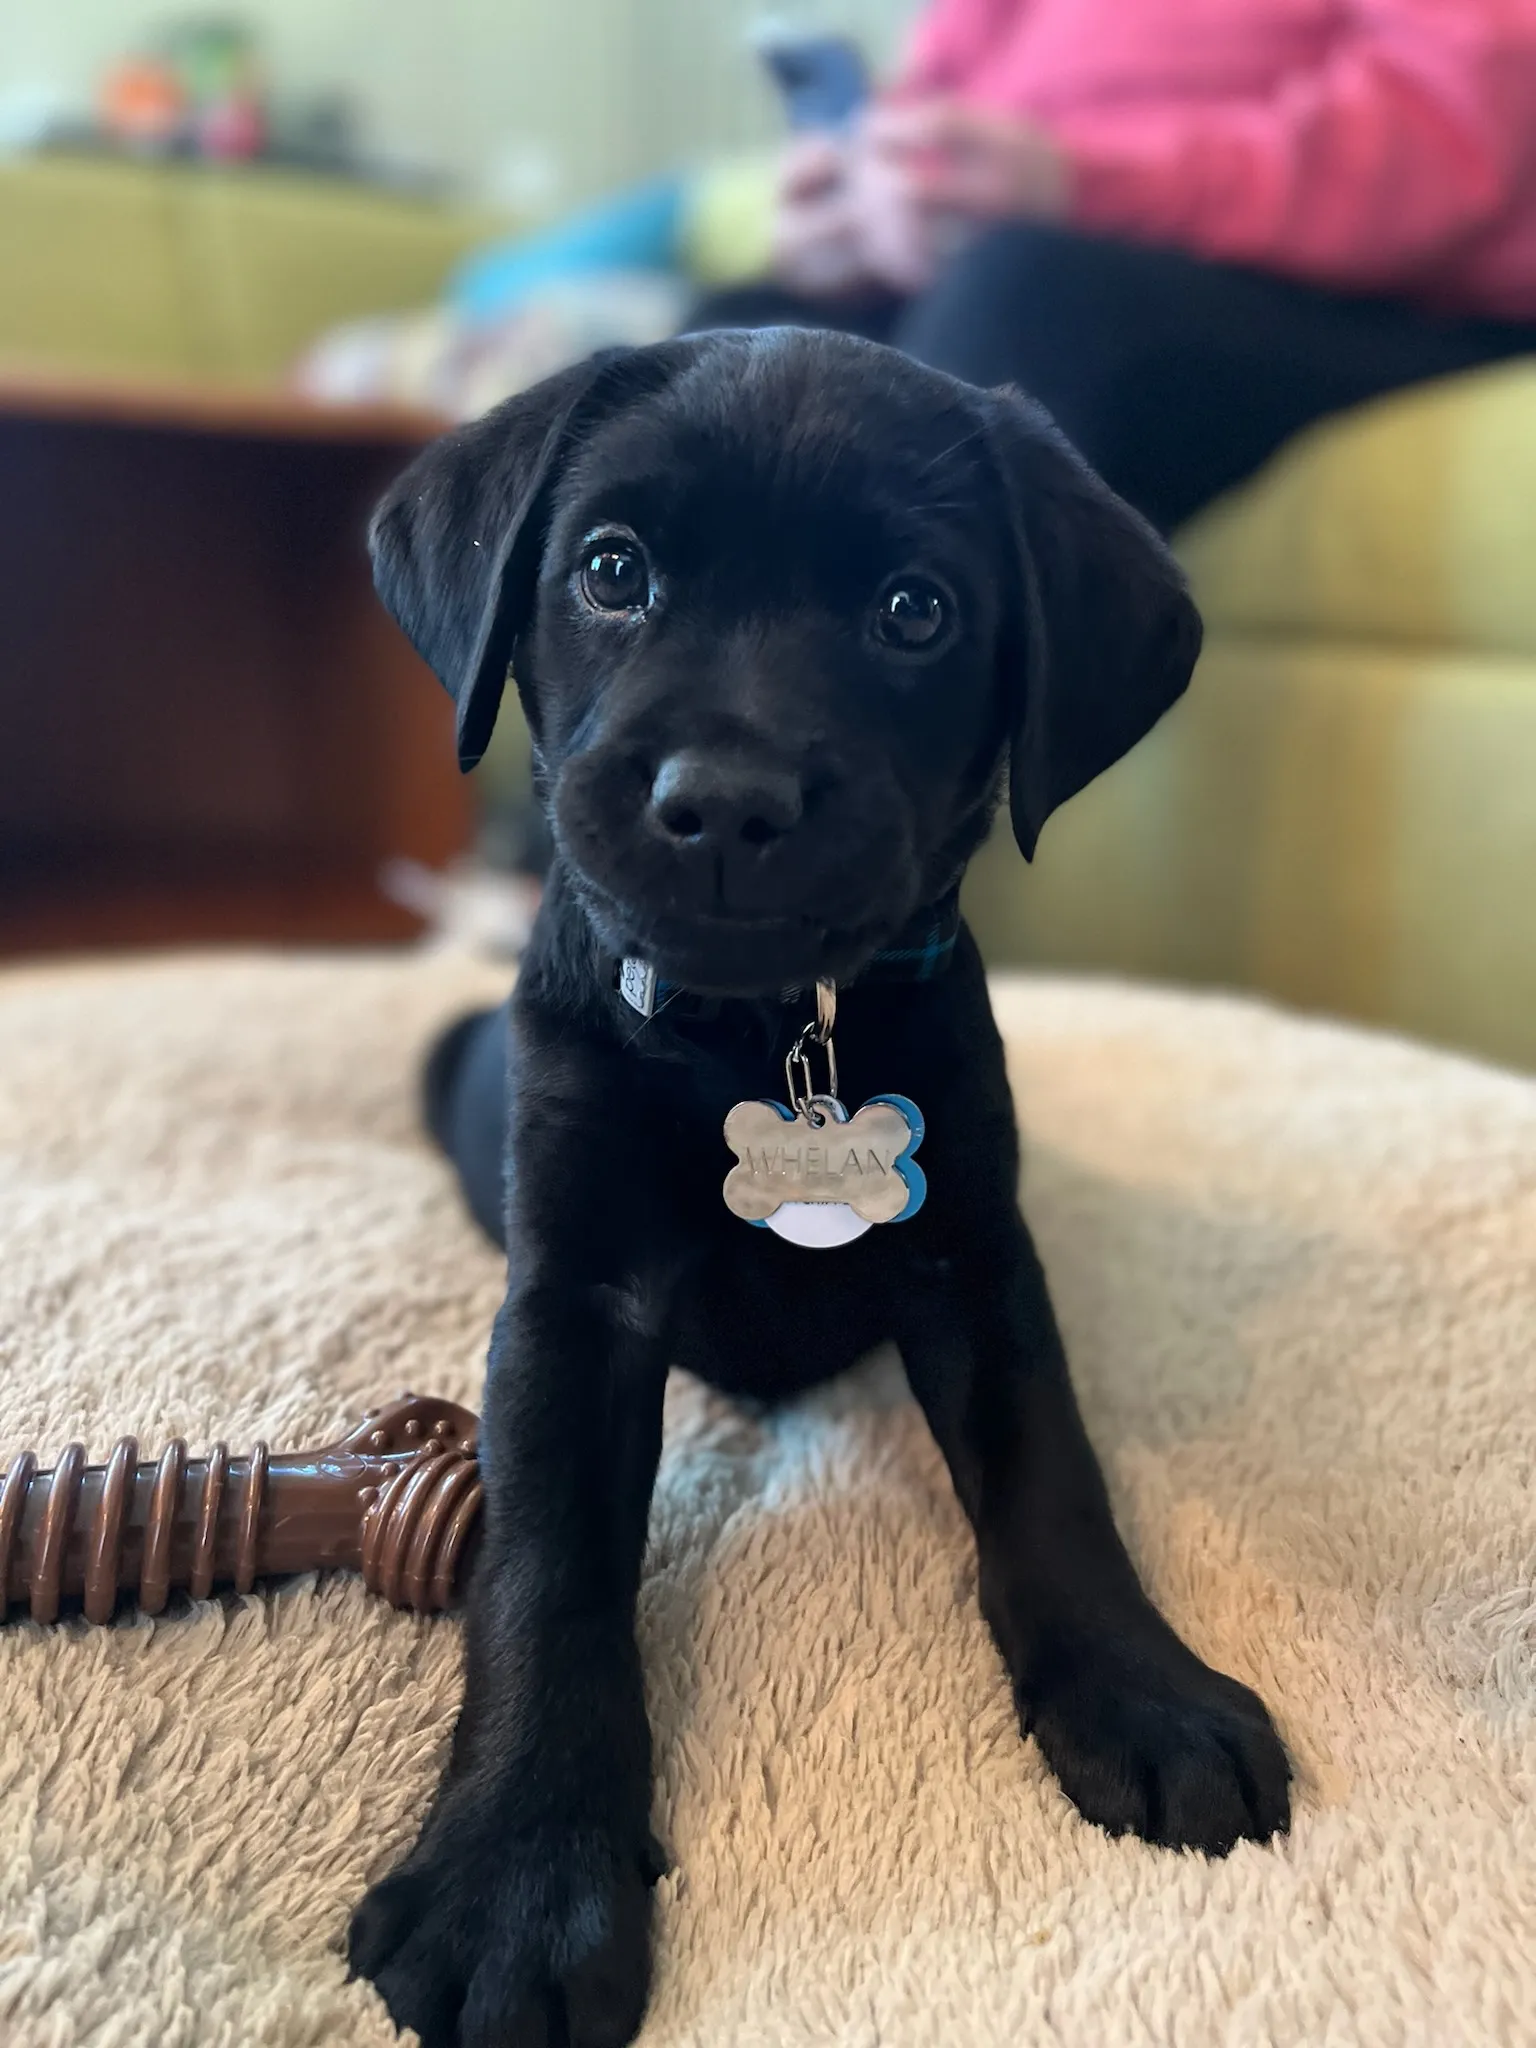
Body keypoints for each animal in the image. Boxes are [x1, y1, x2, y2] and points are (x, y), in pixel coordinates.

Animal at [347, 328, 1291, 2048]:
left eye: (915, 609)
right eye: (612, 569)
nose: (725, 799)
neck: (764, 1031)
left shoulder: (978, 1264)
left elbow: (1055, 1476)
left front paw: (1145, 1693)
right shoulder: (571, 1307)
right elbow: (543, 1575)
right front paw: (519, 1882)